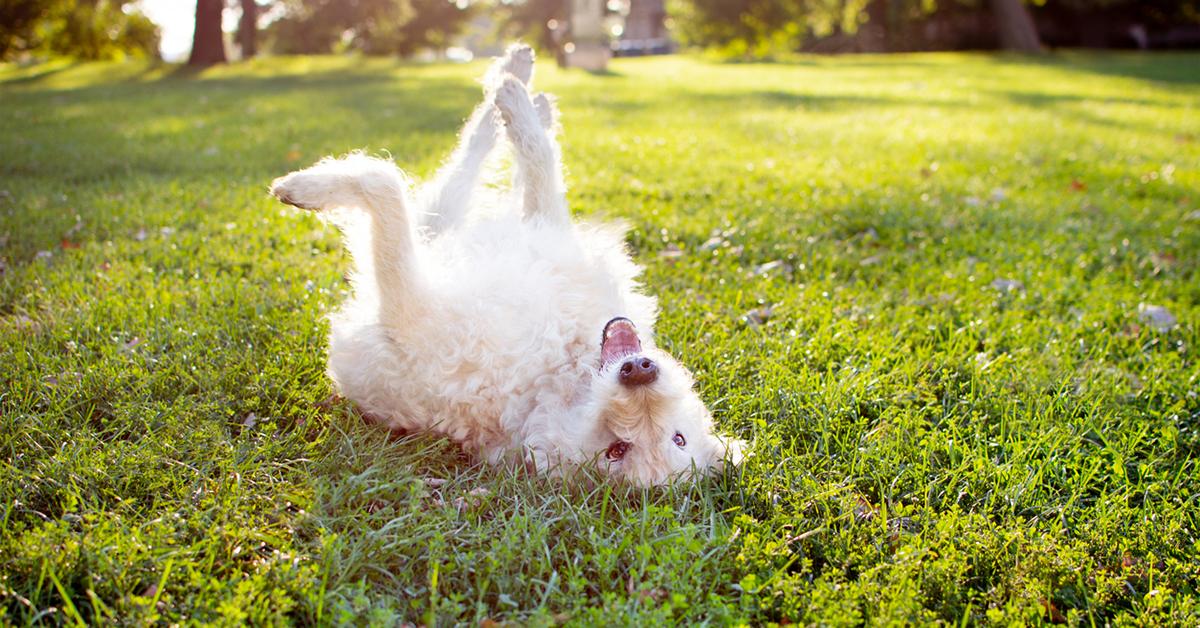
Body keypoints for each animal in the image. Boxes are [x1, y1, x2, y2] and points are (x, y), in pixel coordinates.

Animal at [272, 45, 739, 487]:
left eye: (617, 451)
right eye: (678, 438)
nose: (638, 373)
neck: (556, 373)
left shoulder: (407, 307)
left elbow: (387, 181)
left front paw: (308, 188)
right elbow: (533, 168)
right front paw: (528, 107)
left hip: (429, 236)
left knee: (443, 169)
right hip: (444, 223)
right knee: (476, 152)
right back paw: (522, 80)